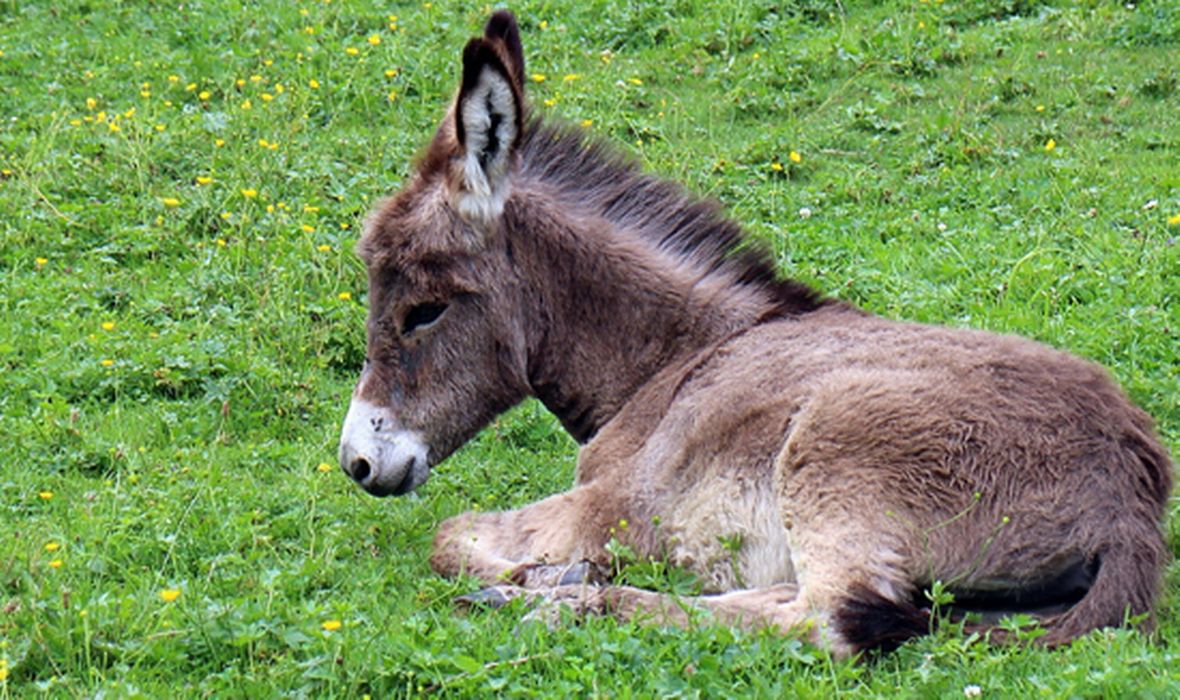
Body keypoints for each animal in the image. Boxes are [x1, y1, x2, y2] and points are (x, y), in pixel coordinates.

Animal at [337, 10, 1175, 656]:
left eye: (424, 309)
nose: (357, 463)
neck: (669, 359)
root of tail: (1132, 500)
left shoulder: (615, 501)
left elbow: (449, 536)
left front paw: (545, 577)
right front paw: (552, 575)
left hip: (836, 458)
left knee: (826, 621)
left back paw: (568, 601)